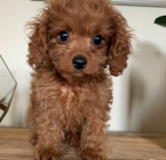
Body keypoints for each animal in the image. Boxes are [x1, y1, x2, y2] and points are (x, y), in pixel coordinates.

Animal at [26, 0, 132, 159]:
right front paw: (47, 149)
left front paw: (92, 150)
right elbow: (48, 126)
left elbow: (94, 127)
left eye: (98, 39)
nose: (80, 62)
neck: (74, 83)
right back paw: (35, 137)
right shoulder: (48, 100)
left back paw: (75, 138)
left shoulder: (97, 104)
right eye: (63, 36)